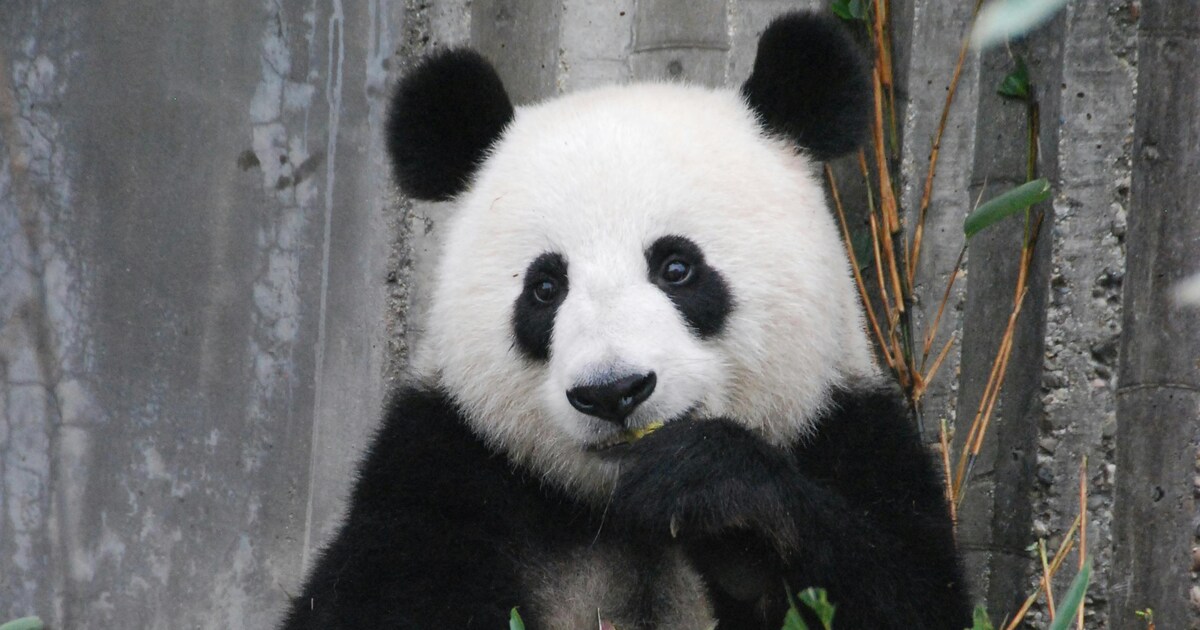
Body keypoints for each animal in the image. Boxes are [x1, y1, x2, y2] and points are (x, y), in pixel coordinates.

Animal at [281, 11, 969, 630]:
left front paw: (722, 506)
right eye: (545, 288)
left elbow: (910, 588)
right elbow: (368, 597)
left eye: (677, 268)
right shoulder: (442, 465)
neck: (612, 505)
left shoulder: (847, 428)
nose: (612, 392)